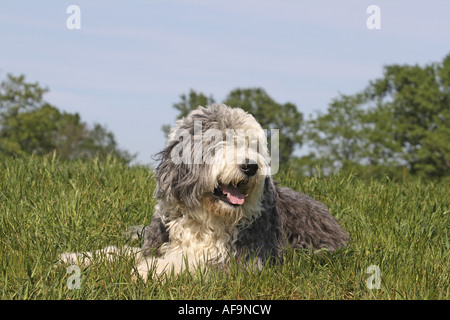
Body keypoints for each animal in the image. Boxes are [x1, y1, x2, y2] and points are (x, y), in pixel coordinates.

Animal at [59, 103, 348, 280]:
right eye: (218, 141)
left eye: (253, 144)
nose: (250, 166)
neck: (206, 216)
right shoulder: (158, 242)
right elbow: (118, 252)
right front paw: (75, 258)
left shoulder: (243, 260)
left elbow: (190, 262)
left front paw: (149, 271)